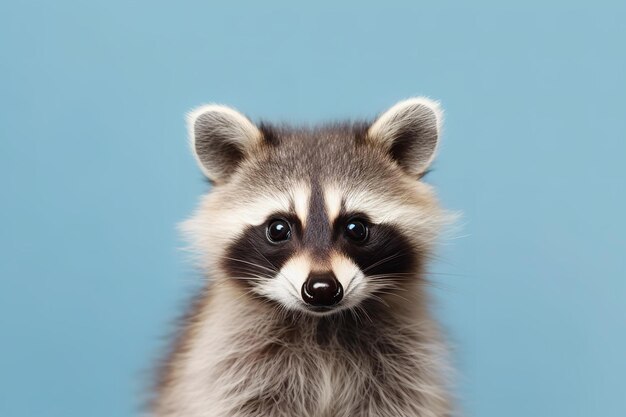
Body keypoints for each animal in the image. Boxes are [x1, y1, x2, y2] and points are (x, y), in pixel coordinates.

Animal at [153, 98, 450, 416]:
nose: (322, 289)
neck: (323, 324)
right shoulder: (229, 362)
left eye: (356, 229)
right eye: (278, 229)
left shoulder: (404, 367)